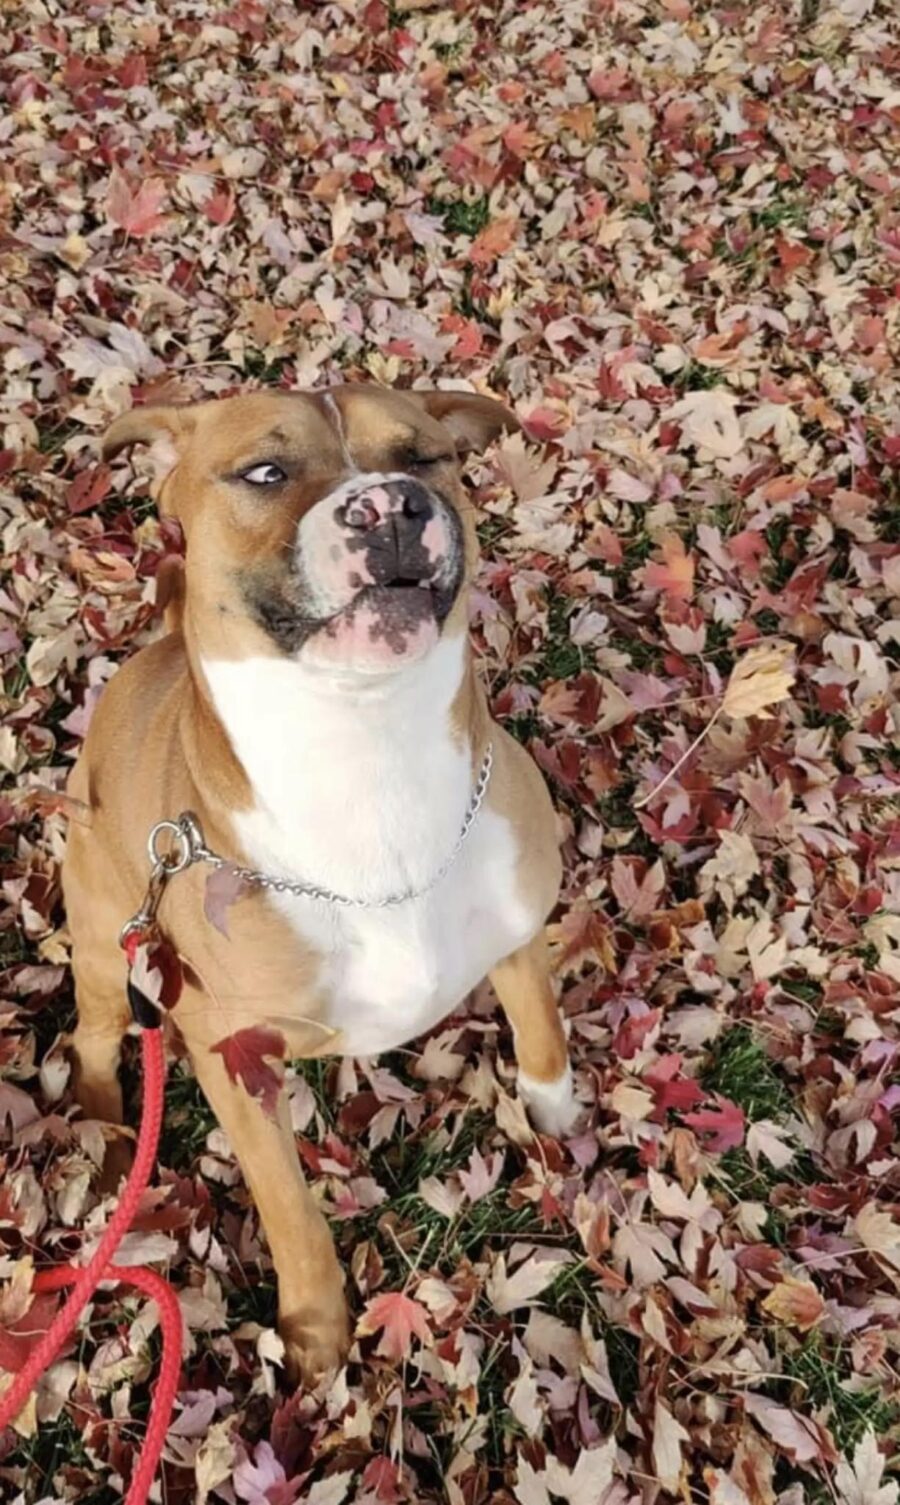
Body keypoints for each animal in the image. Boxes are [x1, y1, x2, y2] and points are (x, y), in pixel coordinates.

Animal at [66, 385, 580, 1378]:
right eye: (266, 471)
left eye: (421, 457)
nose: (391, 508)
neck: (366, 751)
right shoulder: (234, 1063)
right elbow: (292, 1212)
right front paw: (314, 1332)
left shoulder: (519, 928)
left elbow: (542, 1028)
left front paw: (556, 1113)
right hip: (110, 949)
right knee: (95, 1040)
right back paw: (107, 1148)